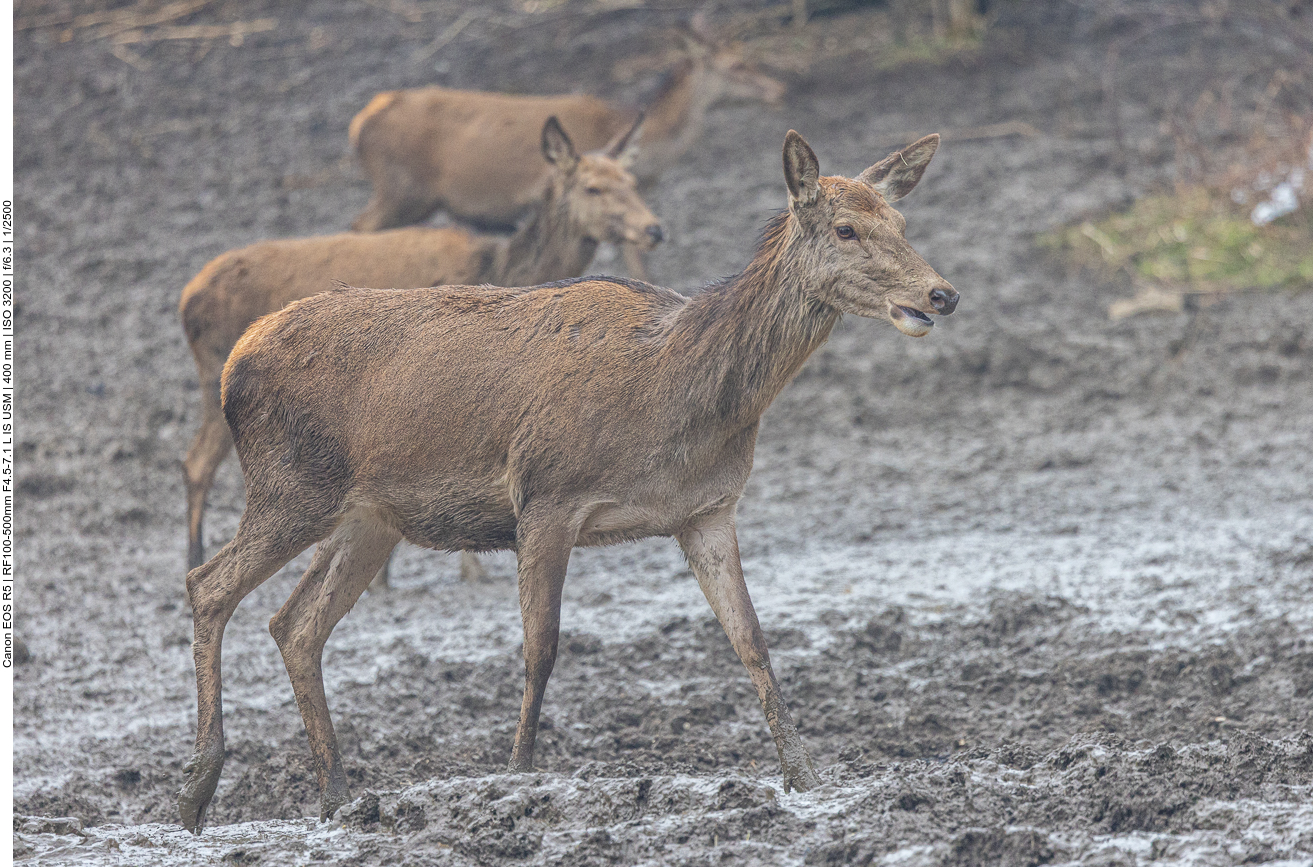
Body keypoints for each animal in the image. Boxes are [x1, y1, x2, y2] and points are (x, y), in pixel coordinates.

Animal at [179, 113, 661, 575]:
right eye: (593, 187)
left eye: (633, 181)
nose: (654, 229)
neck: (502, 267)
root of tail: (187, 300)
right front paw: (466, 571)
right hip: (218, 371)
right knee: (198, 462)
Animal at [344, 19, 782, 277]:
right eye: (736, 67)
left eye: (747, 58)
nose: (776, 89)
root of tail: (358, 125)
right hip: (403, 190)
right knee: (358, 226)